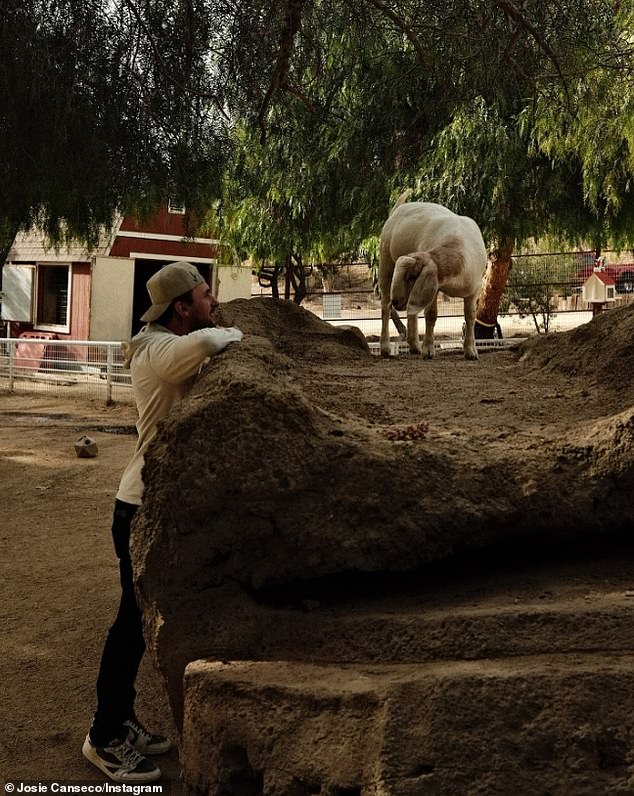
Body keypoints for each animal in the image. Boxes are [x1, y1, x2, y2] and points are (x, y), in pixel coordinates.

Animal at [378, 199, 486, 360]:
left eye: (413, 275)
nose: (396, 301)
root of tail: (400, 208)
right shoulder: (434, 288)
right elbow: (431, 315)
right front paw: (428, 350)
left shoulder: (474, 290)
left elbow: (470, 316)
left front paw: (471, 351)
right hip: (386, 263)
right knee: (385, 307)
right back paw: (385, 347)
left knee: (411, 313)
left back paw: (414, 346)